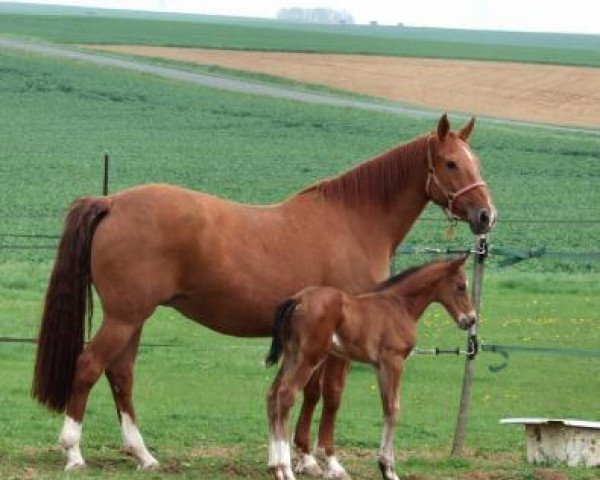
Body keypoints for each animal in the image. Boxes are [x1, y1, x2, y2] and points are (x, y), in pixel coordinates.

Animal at [264, 258, 476, 480]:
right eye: (461, 286)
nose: (471, 319)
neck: (400, 305)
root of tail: (297, 300)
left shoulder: (379, 366)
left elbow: (386, 407)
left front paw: (384, 465)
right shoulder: (394, 361)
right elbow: (393, 409)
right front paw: (388, 469)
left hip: (292, 355)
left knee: (273, 395)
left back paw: (275, 467)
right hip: (309, 358)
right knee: (286, 395)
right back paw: (286, 470)